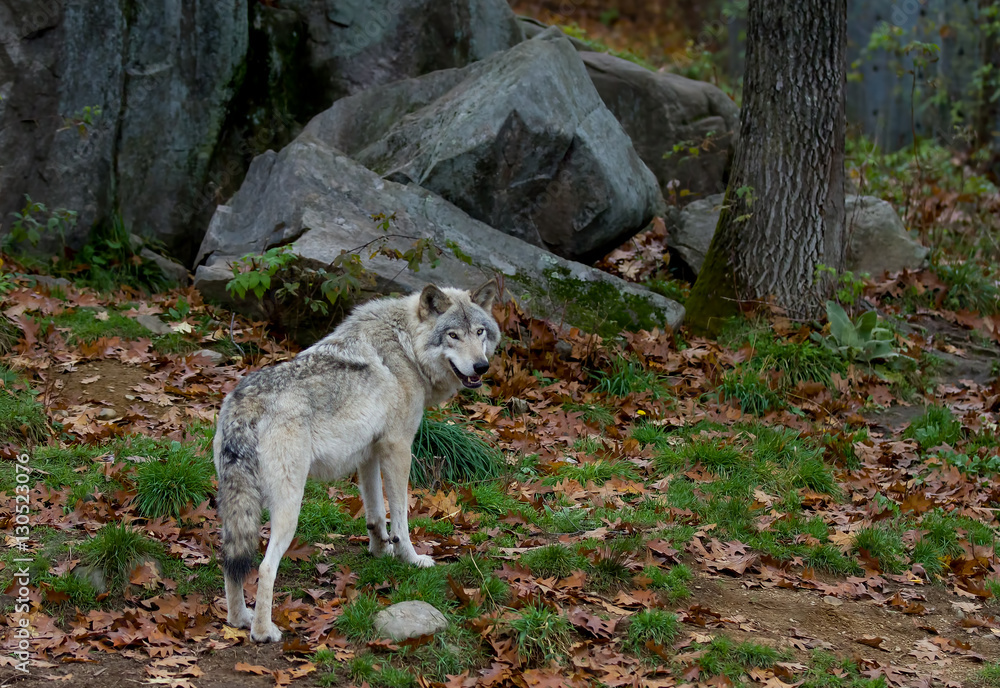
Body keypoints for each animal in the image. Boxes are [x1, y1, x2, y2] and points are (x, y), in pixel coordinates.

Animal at [213, 280, 500, 642]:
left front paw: (380, 552)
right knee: (264, 567)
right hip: (290, 505)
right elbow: (401, 518)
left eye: (479, 332)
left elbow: (376, 515)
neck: (407, 348)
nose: (481, 367)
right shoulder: (398, 448)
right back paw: (264, 632)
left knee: (231, 562)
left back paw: (239, 619)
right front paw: (410, 558)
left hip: (235, 508)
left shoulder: (369, 454)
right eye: (453, 335)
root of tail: (245, 403)